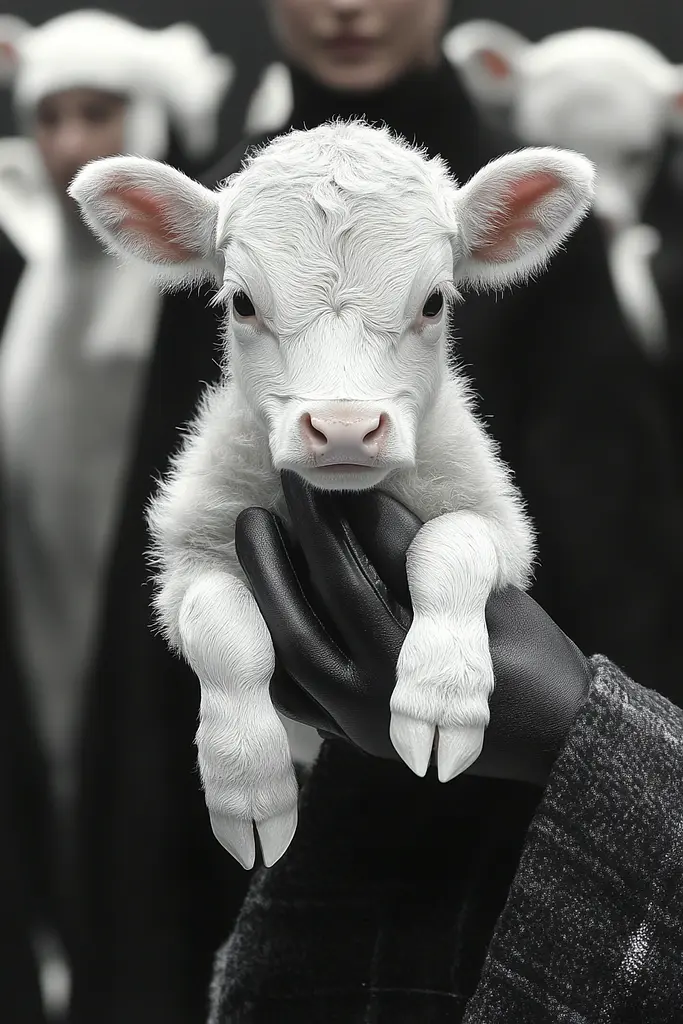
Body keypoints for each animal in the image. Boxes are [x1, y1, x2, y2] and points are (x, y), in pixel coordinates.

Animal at [68, 121, 593, 872]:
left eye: (434, 302)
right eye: (242, 303)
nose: (344, 427)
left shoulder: (498, 521)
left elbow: (450, 545)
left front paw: (440, 697)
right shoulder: (188, 555)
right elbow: (224, 630)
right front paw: (247, 785)